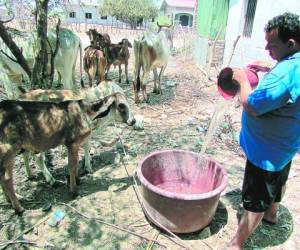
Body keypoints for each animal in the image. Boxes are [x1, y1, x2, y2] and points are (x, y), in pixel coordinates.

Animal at [0, 81, 136, 214]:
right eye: (121, 105)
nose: (133, 121)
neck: (86, 111)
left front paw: (79, 177)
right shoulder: (73, 143)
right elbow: (72, 164)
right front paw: (74, 189)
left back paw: (13, 196)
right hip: (10, 151)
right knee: (9, 177)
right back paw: (21, 205)